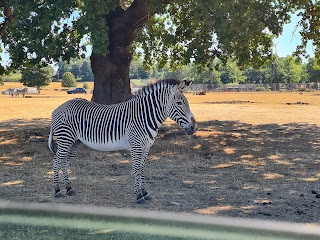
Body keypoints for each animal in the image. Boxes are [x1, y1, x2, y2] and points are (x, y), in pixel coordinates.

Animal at [47, 78, 196, 203]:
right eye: (179, 103)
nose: (193, 127)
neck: (144, 116)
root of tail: (57, 109)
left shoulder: (146, 147)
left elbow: (142, 169)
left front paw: (145, 193)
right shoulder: (136, 146)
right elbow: (136, 169)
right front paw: (139, 196)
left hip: (74, 142)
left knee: (64, 163)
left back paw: (69, 189)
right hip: (65, 140)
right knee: (56, 161)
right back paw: (57, 190)